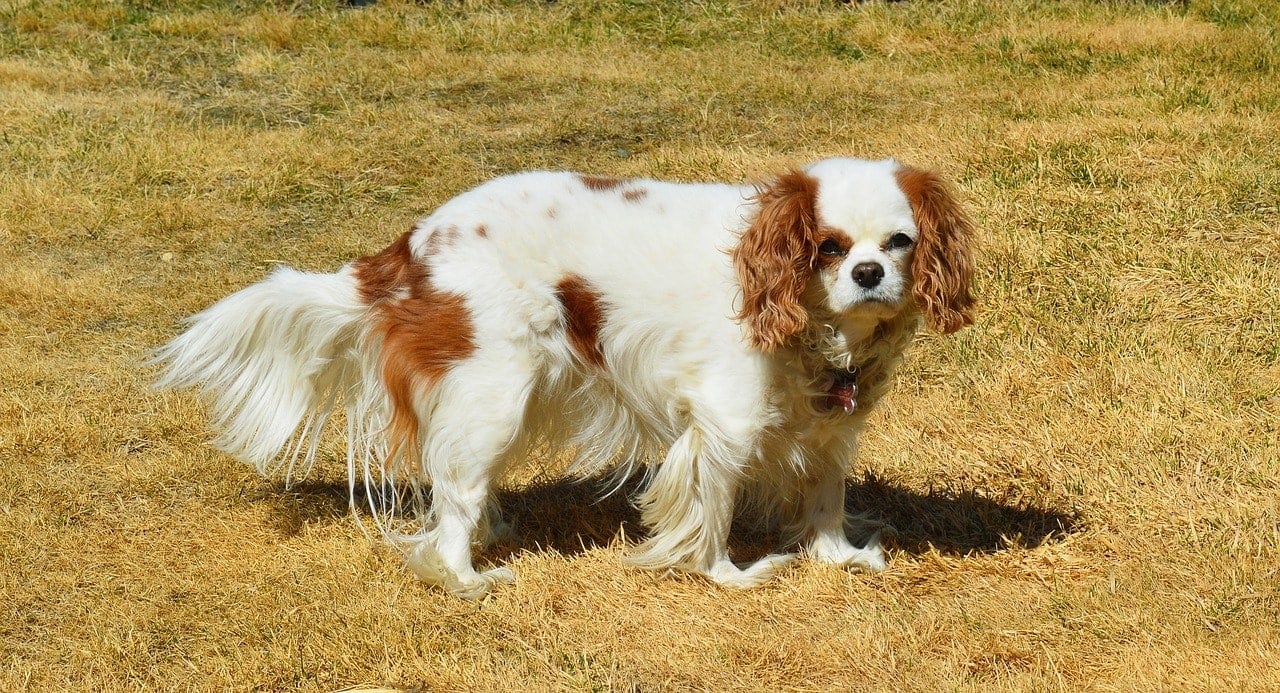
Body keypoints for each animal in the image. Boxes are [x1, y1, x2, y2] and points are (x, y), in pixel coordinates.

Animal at [154, 156, 972, 594]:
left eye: (899, 243)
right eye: (828, 247)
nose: (868, 273)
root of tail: (413, 245)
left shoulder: (833, 423)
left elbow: (827, 493)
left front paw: (837, 557)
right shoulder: (725, 424)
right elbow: (709, 510)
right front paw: (724, 575)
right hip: (494, 393)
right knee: (454, 496)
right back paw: (466, 576)